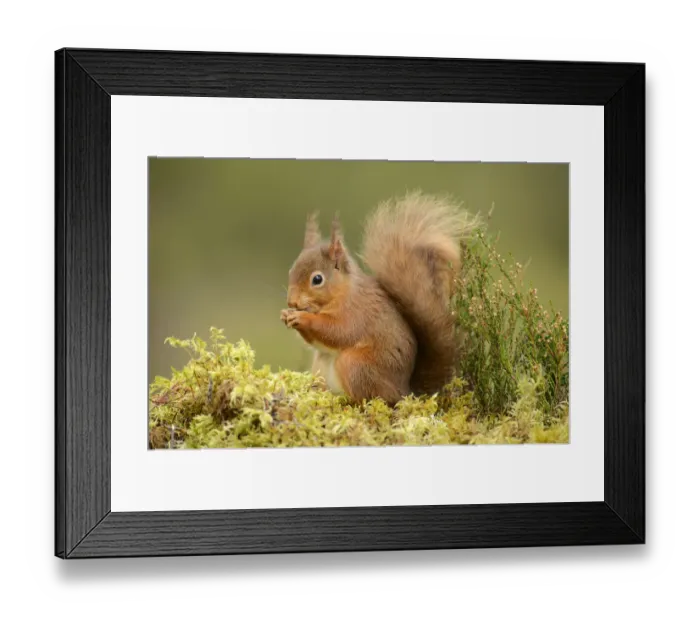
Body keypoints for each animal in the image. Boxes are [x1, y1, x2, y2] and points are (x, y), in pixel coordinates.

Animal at [281, 190, 479, 406]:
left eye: (317, 279)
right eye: (291, 270)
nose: (292, 302)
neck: (343, 292)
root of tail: (404, 391)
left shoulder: (356, 312)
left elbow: (338, 331)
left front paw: (302, 318)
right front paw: (286, 314)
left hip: (355, 365)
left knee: (371, 397)